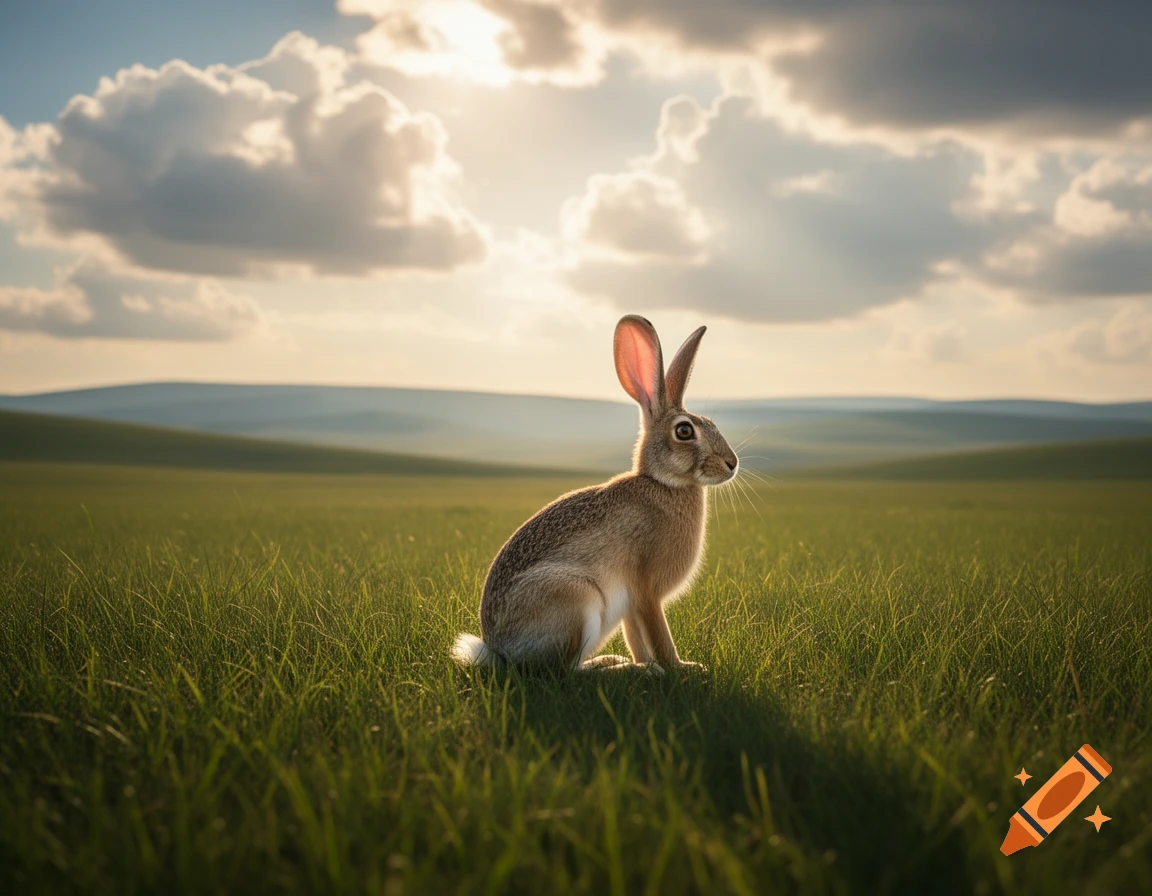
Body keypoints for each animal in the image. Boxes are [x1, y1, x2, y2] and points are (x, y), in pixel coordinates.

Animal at [452, 314, 739, 673]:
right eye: (685, 431)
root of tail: (499, 651)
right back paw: (624, 669)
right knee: (565, 671)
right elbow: (660, 636)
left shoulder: (631, 603)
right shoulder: (647, 592)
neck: (662, 482)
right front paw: (682, 668)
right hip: (577, 599)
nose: (732, 463)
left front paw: (653, 664)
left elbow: (637, 637)